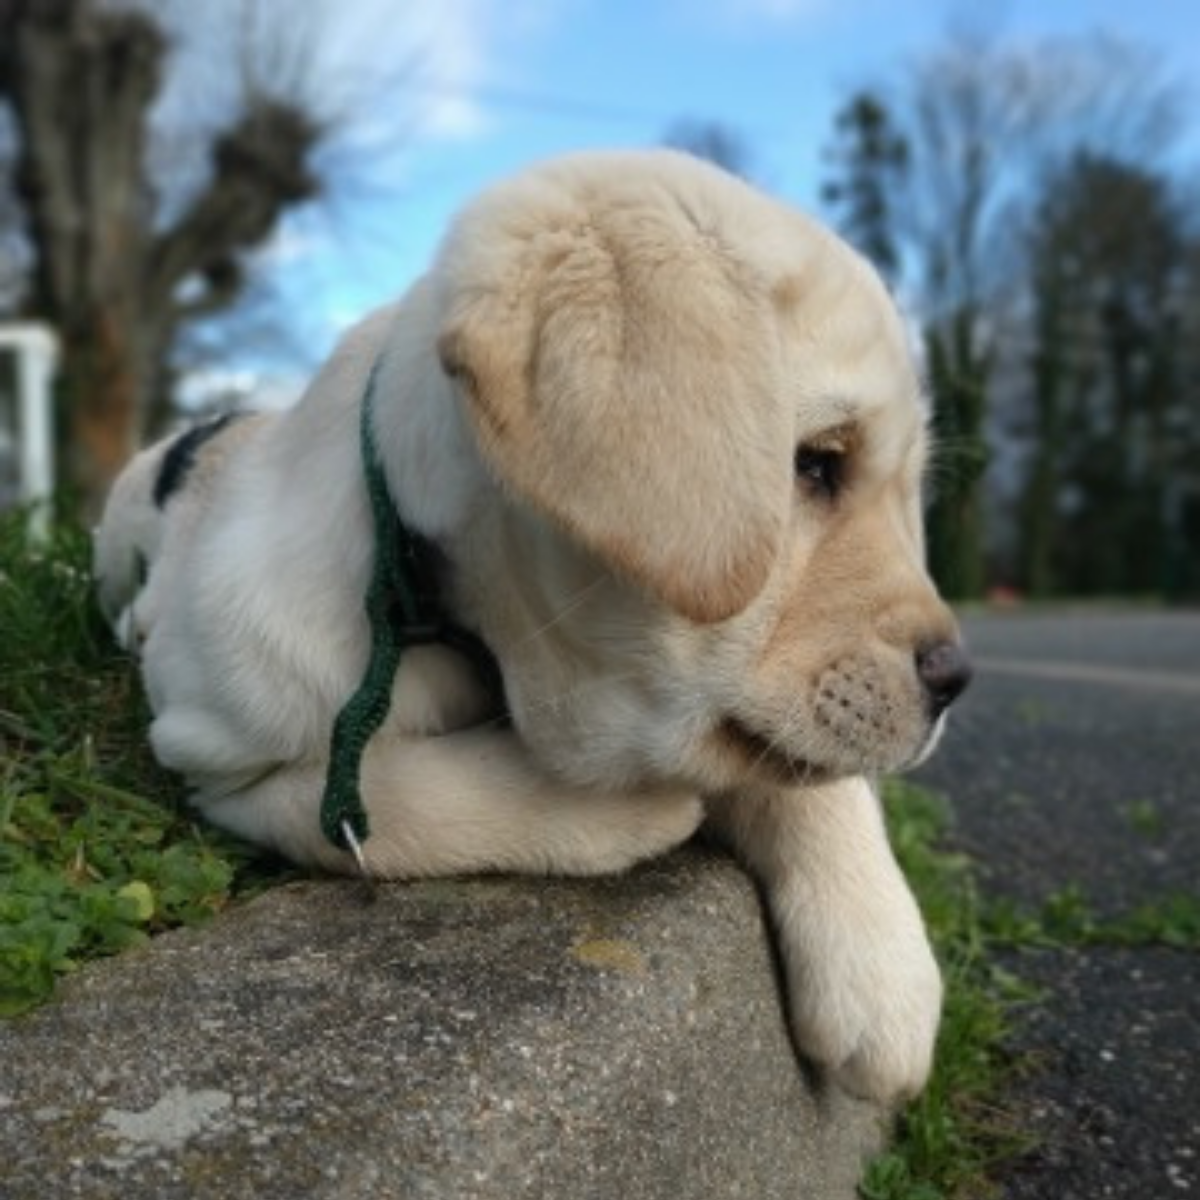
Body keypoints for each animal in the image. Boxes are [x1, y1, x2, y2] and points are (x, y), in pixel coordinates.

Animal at [98, 150, 969, 1104]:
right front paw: (630, 812)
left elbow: (804, 774)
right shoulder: (214, 754)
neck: (428, 593)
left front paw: (883, 964)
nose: (956, 681)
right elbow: (376, 800)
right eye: (815, 463)